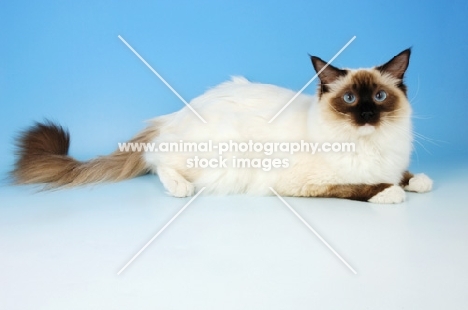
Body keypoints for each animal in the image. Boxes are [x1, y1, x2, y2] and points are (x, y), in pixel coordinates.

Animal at [11, 48, 432, 203]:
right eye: (349, 101)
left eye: (379, 97)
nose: (367, 116)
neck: (369, 144)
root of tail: (174, 115)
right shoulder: (303, 183)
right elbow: (357, 187)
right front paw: (390, 193)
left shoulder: (392, 161)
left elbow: (404, 173)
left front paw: (418, 182)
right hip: (221, 157)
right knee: (158, 161)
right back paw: (179, 188)